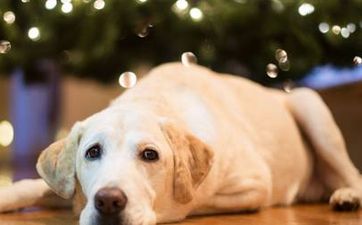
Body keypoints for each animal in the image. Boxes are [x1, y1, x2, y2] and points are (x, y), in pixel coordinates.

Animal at [0, 62, 360, 225]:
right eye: (92, 152)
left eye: (150, 155)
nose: (108, 201)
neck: (155, 100)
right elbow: (33, 186)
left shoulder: (253, 185)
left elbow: (192, 200)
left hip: (311, 106)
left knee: (351, 174)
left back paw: (347, 196)